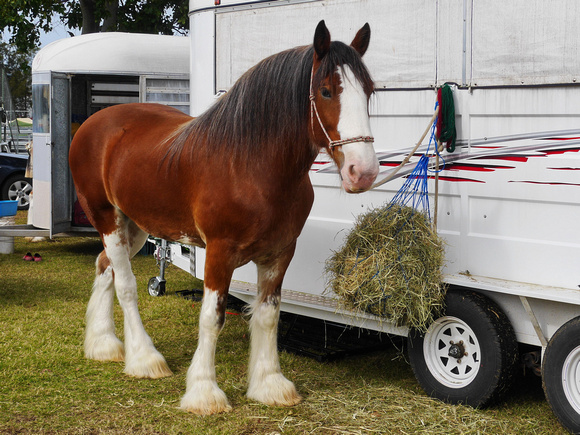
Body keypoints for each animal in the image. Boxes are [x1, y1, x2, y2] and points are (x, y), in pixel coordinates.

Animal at [69, 21, 376, 416]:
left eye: (369, 91)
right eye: (326, 91)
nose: (363, 172)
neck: (250, 165)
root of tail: (94, 124)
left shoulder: (279, 254)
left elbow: (268, 315)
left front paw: (269, 385)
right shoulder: (218, 252)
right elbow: (212, 317)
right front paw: (204, 392)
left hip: (133, 226)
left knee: (104, 266)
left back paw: (104, 345)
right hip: (106, 219)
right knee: (125, 284)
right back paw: (144, 358)